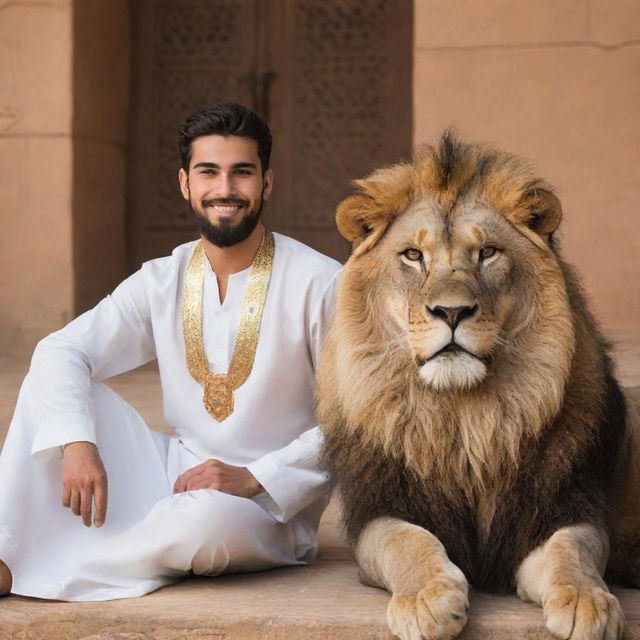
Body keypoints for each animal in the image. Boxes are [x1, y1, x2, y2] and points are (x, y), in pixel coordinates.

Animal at [318, 132, 640, 640]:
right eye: (413, 255)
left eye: (487, 252)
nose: (451, 312)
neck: (466, 420)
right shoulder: (381, 508)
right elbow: (407, 542)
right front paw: (427, 600)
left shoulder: (559, 507)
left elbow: (573, 550)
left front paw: (587, 602)